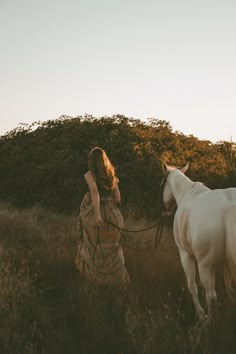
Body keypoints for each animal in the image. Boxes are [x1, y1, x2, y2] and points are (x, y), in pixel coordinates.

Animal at [161, 163, 236, 320]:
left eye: (162, 183)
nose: (165, 210)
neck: (186, 192)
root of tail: (228, 207)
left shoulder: (185, 255)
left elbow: (192, 286)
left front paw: (200, 314)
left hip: (205, 265)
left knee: (211, 296)